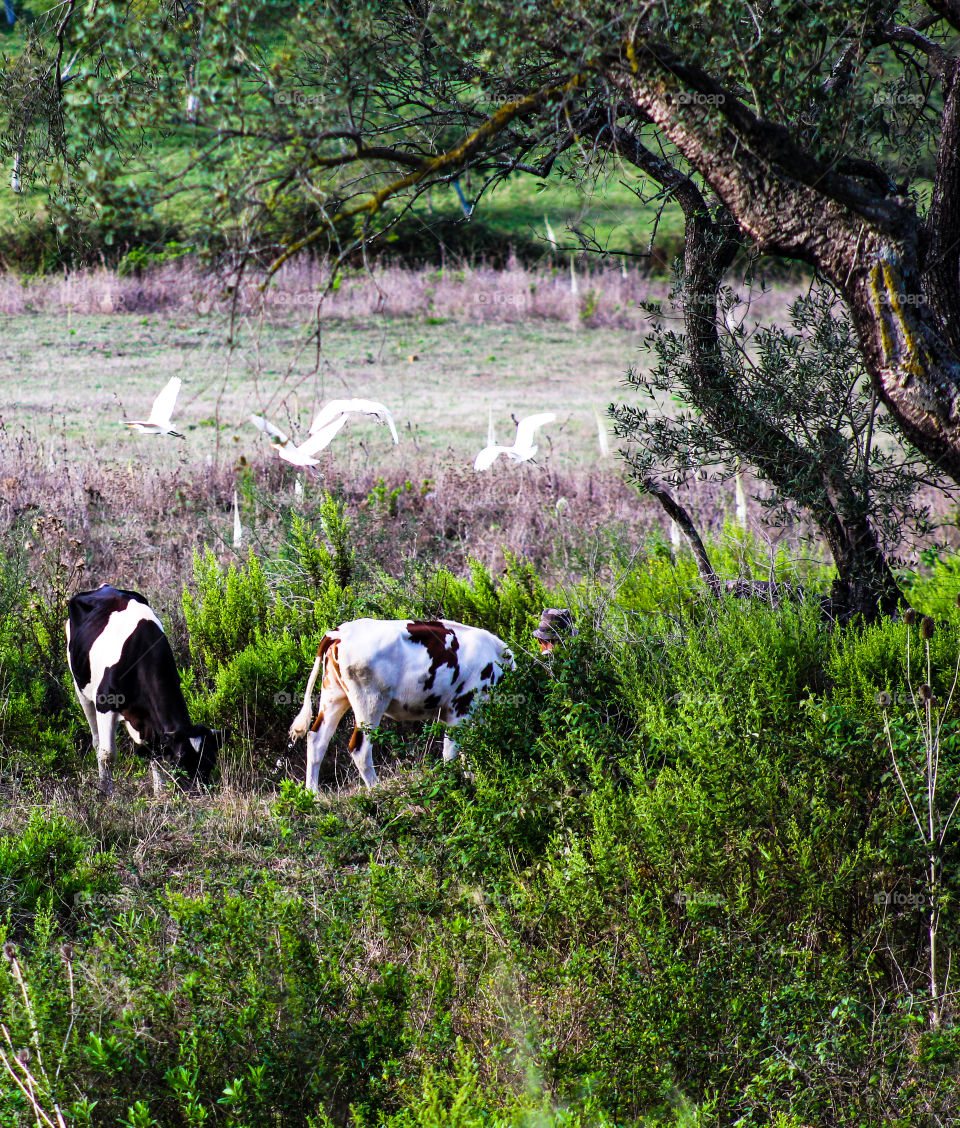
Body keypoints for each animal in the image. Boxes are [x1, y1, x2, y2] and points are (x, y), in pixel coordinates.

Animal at [66, 584, 222, 794]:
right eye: (180, 762)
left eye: (211, 760)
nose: (199, 793)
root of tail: (104, 587)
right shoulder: (105, 705)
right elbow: (108, 755)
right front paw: (106, 794)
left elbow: (154, 751)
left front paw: (159, 792)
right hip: (81, 688)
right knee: (97, 740)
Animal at [287, 617, 515, 790]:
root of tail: (338, 633)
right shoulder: (461, 710)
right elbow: (452, 753)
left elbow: (468, 752)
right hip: (370, 703)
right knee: (360, 749)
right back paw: (376, 790)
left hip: (334, 696)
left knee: (317, 740)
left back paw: (313, 794)